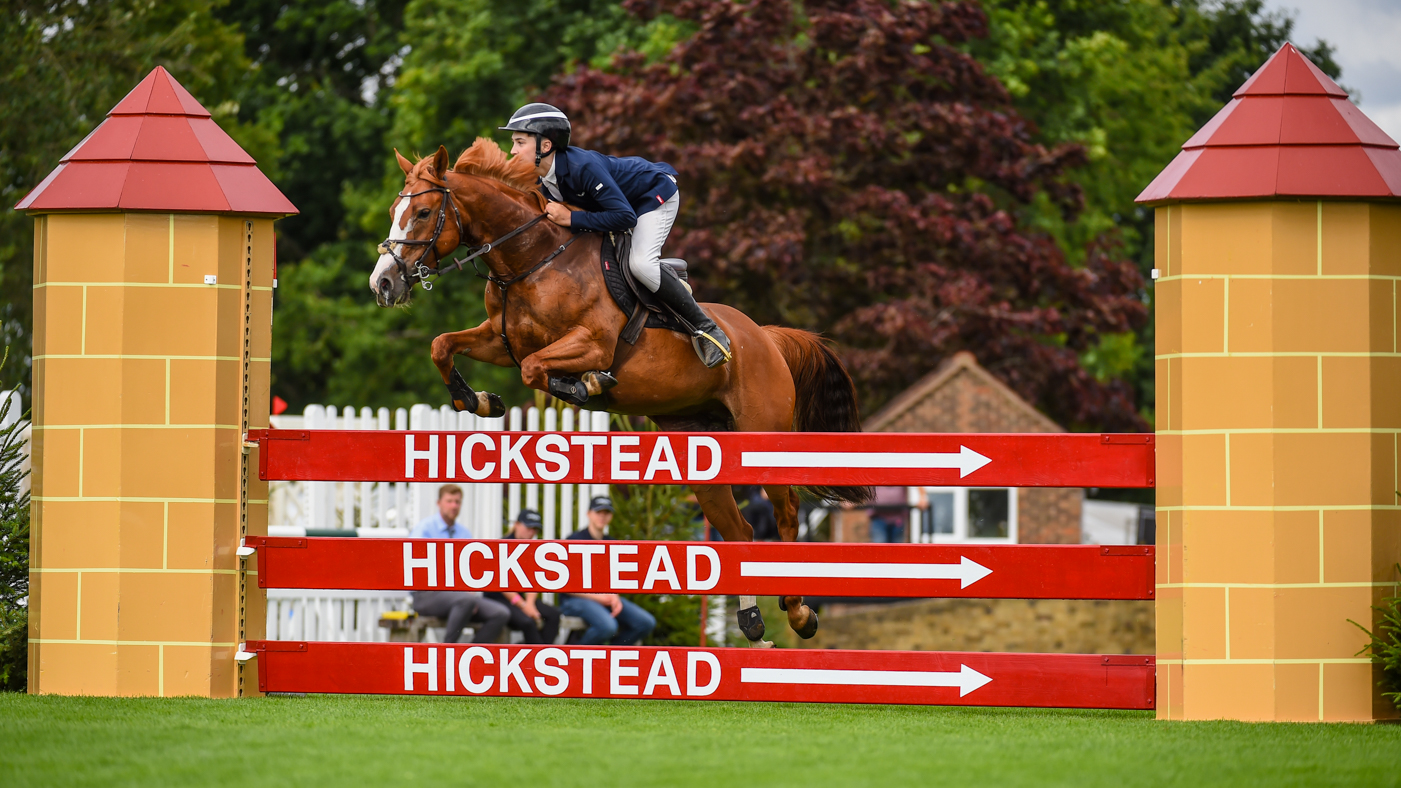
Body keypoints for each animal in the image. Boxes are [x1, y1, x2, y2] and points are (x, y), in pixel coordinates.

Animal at [368, 138, 871, 645]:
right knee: (739, 530)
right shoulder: (500, 340)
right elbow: (444, 346)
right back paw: (751, 621)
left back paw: (798, 612)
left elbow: (535, 369)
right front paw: (478, 401)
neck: (531, 259)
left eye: (424, 212)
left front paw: (585, 385)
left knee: (786, 515)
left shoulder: (591, 343)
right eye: (394, 210)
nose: (383, 283)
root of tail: (766, 337)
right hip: (700, 447)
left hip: (761, 438)